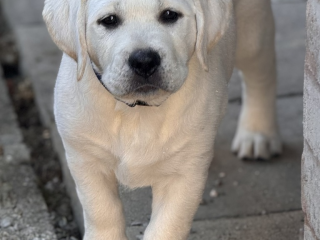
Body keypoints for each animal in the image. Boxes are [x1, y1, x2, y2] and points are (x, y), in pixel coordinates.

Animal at [43, 0, 282, 239]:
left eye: (169, 15)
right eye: (109, 20)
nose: (144, 61)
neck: (139, 110)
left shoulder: (182, 175)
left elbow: (167, 226)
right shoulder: (86, 161)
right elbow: (102, 211)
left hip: (253, 31)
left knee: (261, 76)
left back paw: (257, 134)